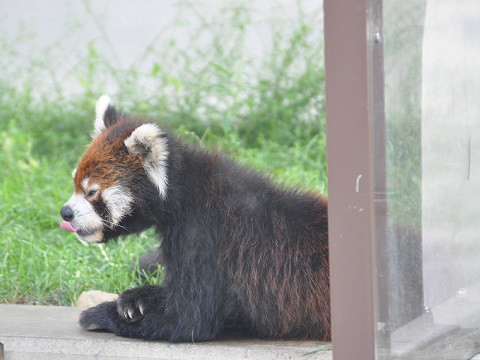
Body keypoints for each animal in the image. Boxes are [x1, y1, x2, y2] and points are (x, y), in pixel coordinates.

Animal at [59, 95, 330, 344]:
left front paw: (100, 314)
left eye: (91, 192)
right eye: (74, 183)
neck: (184, 194)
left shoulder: (204, 235)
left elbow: (188, 319)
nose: (65, 212)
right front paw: (136, 298)